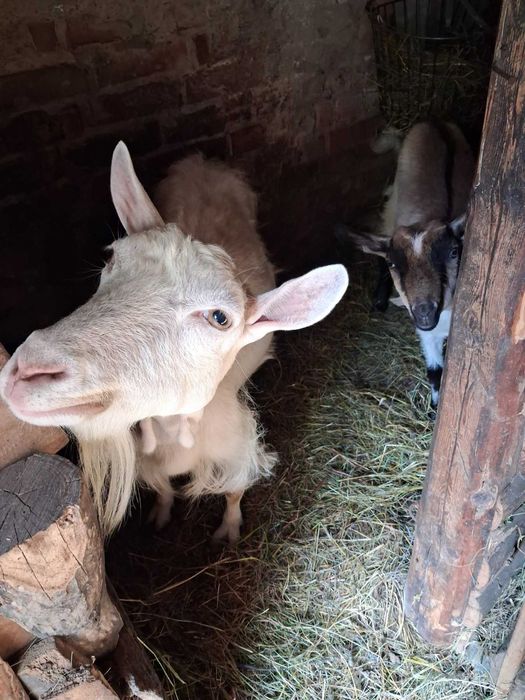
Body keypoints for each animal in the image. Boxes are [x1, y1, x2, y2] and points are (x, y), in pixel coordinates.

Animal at [0, 143, 348, 539]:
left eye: (220, 318)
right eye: (111, 257)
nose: (27, 371)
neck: (175, 433)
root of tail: (202, 161)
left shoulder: (237, 447)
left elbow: (234, 491)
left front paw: (229, 531)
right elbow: (163, 487)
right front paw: (161, 515)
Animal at [340, 120, 475, 407]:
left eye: (454, 252)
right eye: (394, 263)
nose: (424, 312)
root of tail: (435, 123)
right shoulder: (426, 332)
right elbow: (435, 371)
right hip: (392, 205)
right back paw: (379, 300)